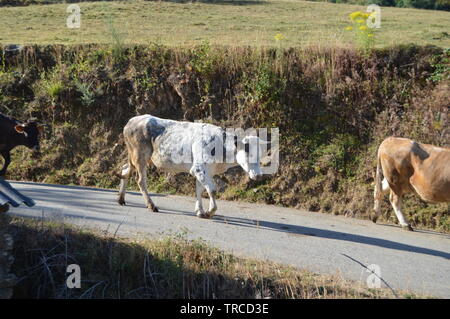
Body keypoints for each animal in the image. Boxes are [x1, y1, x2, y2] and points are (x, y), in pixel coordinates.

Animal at [118, 115, 266, 220]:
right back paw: (151, 205)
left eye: (260, 156)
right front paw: (209, 212)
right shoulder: (198, 168)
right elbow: (212, 190)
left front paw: (200, 211)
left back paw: (121, 199)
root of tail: (131, 121)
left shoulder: (206, 171)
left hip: (136, 157)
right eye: (249, 154)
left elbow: (199, 190)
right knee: (140, 181)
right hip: (140, 156)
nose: (259, 175)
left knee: (125, 169)